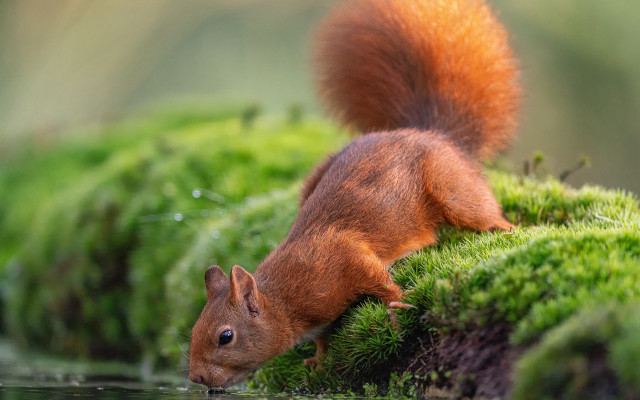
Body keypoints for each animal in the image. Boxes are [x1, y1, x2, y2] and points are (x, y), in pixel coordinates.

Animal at [189, 0, 519, 390]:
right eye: (194, 329)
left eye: (226, 336)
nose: (195, 376)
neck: (283, 299)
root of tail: (430, 133)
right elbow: (323, 337)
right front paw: (318, 359)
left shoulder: (340, 259)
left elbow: (375, 276)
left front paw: (398, 304)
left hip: (450, 186)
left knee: (479, 211)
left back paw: (506, 228)